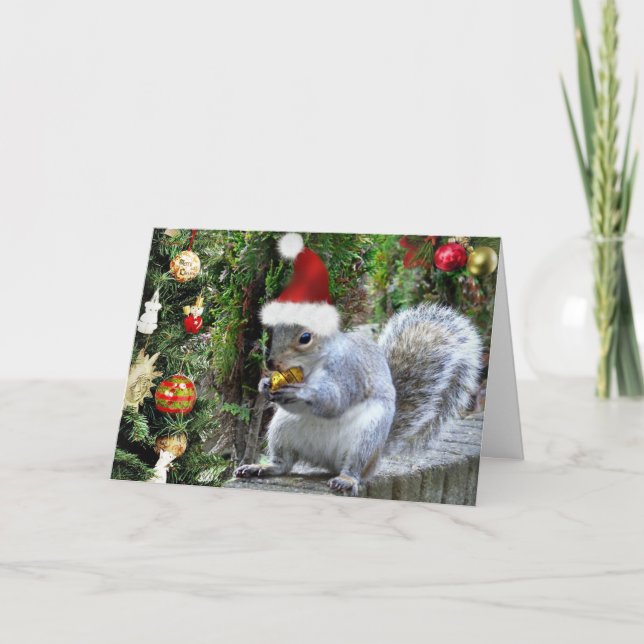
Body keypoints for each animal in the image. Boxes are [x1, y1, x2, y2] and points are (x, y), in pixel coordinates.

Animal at [234, 233, 482, 496]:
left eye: (305, 338)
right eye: (273, 331)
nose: (272, 362)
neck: (312, 368)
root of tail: (327, 461)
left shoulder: (350, 372)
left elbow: (334, 401)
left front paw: (302, 392)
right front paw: (264, 384)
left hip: (367, 438)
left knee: (354, 467)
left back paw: (347, 479)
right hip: (282, 428)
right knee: (284, 463)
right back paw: (260, 467)